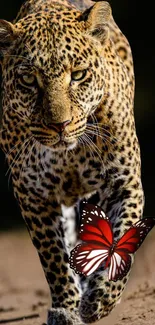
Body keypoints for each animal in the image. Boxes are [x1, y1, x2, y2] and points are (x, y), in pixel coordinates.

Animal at [0, 0, 144, 322]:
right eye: (29, 80)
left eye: (78, 75)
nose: (60, 125)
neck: (70, 153)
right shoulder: (33, 194)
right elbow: (54, 258)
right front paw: (66, 308)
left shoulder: (124, 183)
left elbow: (120, 241)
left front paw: (100, 299)